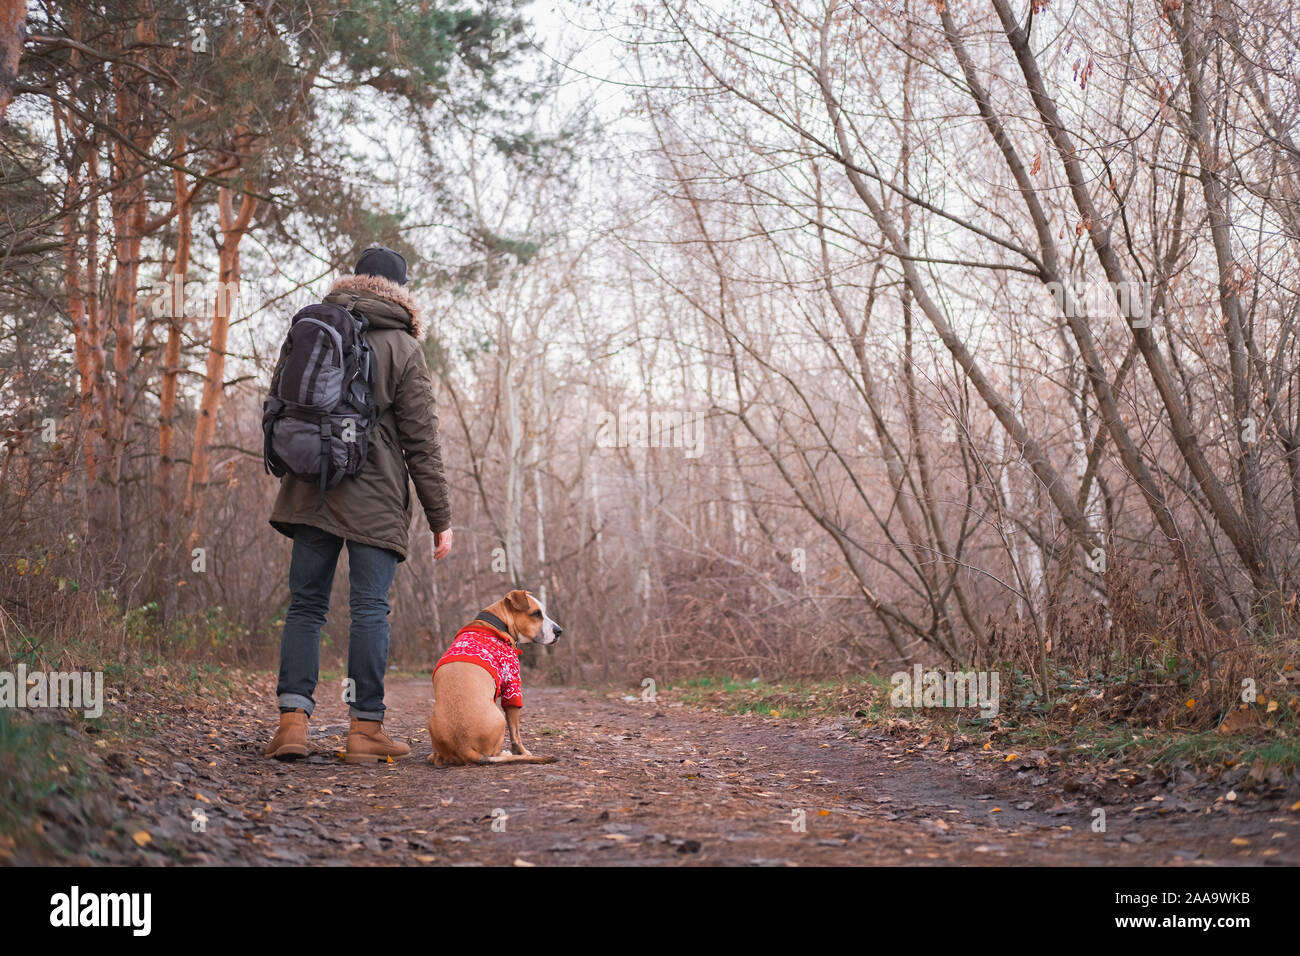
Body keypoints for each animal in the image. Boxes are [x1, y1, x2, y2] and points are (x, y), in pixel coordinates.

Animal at [428, 587, 561, 764]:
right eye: (536, 614)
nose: (559, 631)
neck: (497, 622)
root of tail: (464, 748)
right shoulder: (512, 686)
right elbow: (515, 732)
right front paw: (523, 752)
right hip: (500, 719)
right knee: (495, 752)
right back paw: (506, 754)